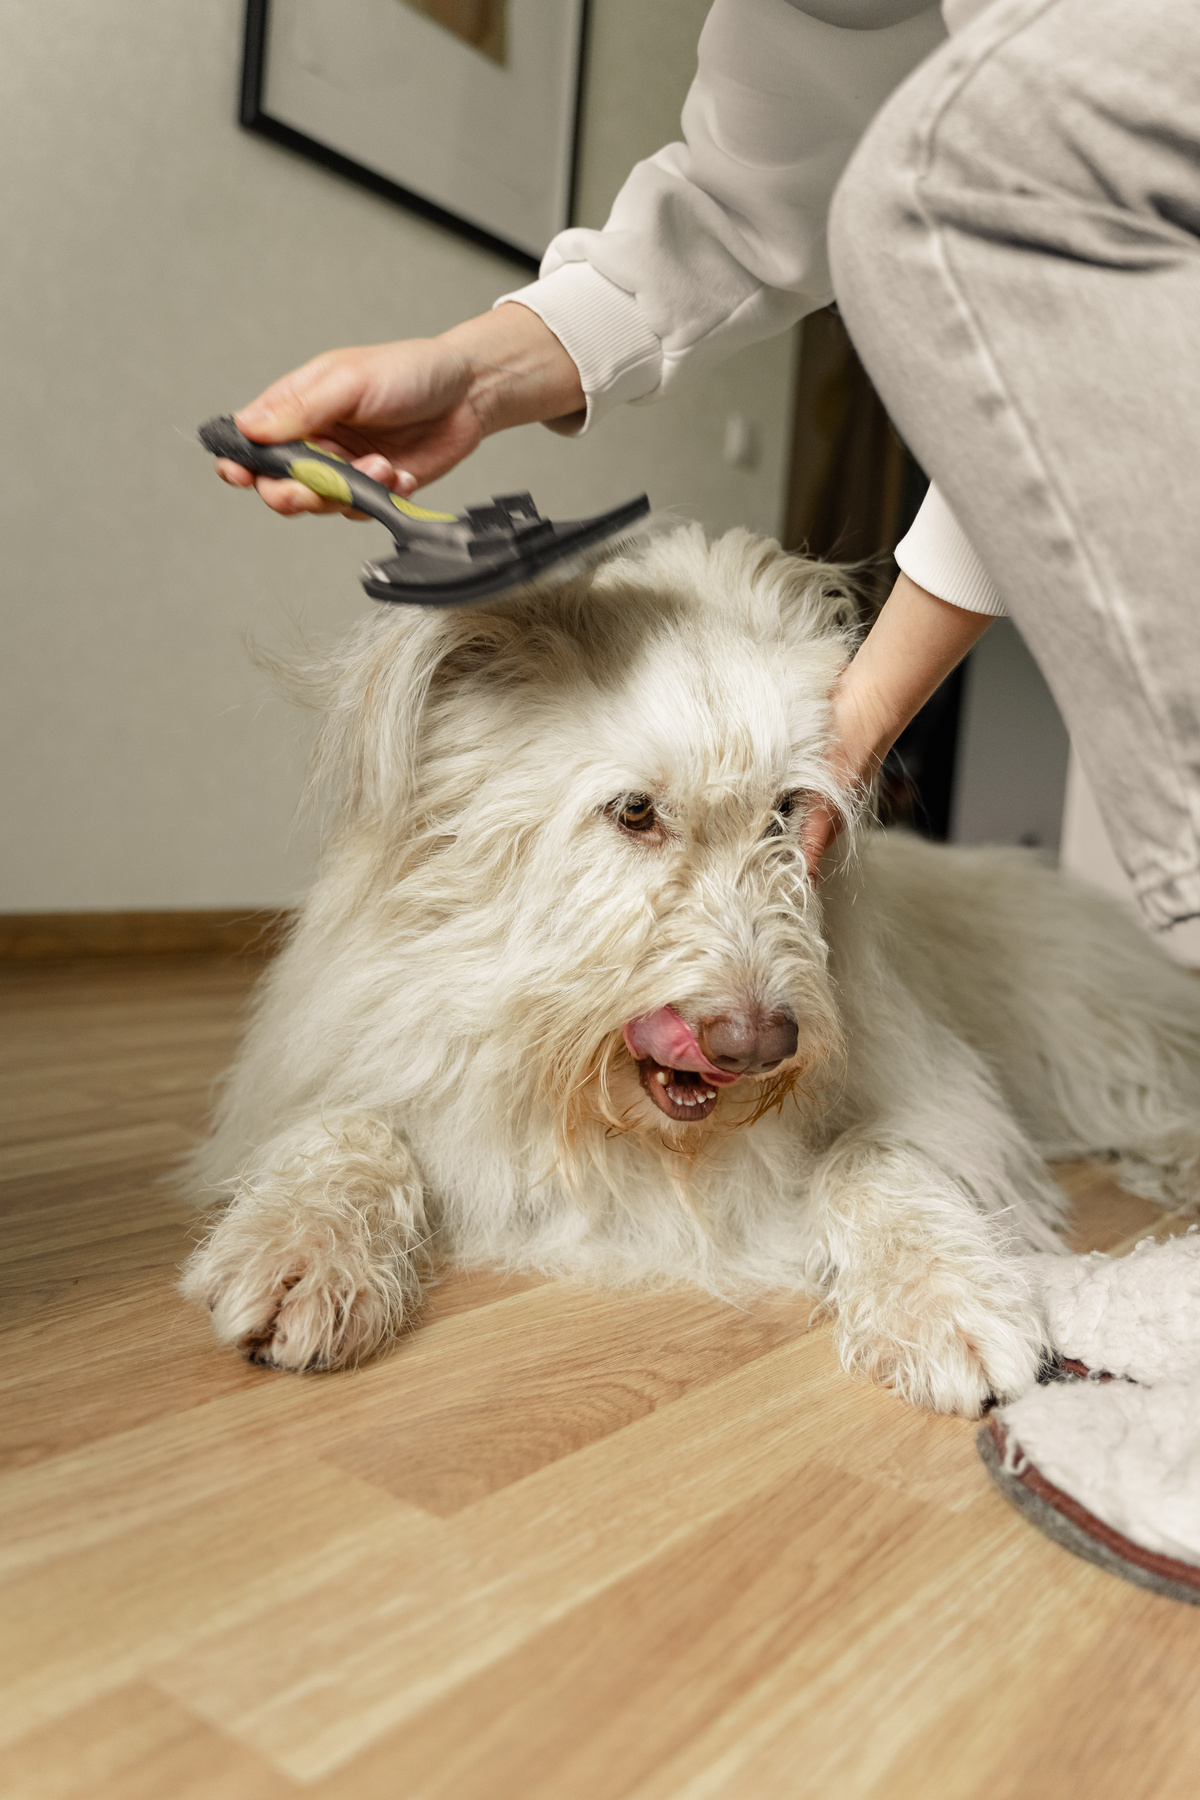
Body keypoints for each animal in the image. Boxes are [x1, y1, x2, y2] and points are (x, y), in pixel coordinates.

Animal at [183, 525, 1200, 1411]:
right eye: (634, 811)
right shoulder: (358, 1061)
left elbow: (875, 1156)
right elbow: (352, 1130)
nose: (758, 1044)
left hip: (1091, 1030)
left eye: (788, 812)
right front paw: (303, 1252)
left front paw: (944, 1297)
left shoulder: (943, 1097)